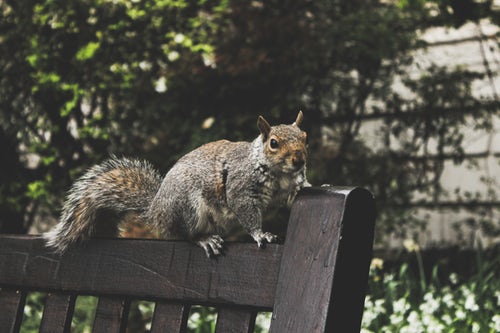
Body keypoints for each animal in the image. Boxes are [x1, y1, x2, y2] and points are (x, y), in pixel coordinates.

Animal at [44, 111, 308, 256]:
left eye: (305, 137)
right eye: (273, 143)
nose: (299, 159)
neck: (279, 174)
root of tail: (155, 211)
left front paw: (304, 187)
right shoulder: (240, 186)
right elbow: (246, 211)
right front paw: (260, 234)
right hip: (188, 207)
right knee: (183, 234)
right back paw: (204, 239)